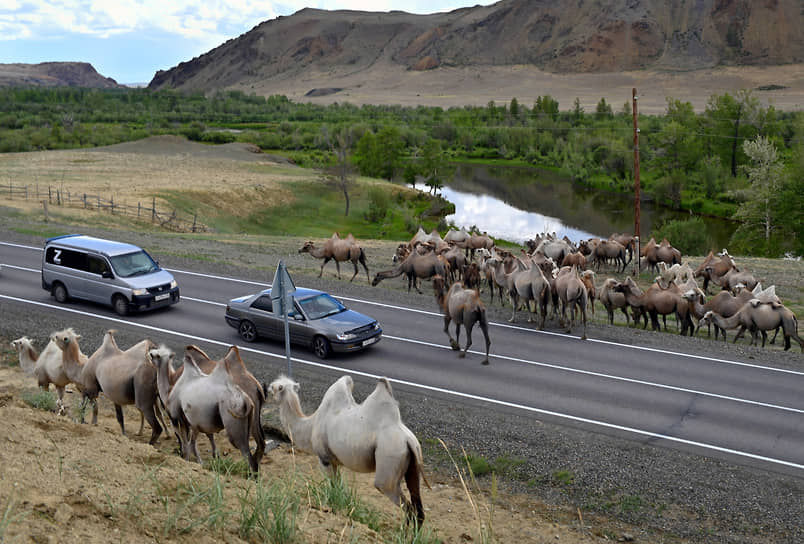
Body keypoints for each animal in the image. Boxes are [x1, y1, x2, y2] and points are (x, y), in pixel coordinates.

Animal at [268, 376, 428, 524]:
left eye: (274, 388)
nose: (265, 389)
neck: (310, 425)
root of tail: (408, 440)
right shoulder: (335, 462)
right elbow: (339, 486)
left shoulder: (324, 459)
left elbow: (332, 487)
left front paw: (332, 509)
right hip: (413, 464)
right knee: (418, 510)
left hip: (389, 461)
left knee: (406, 506)